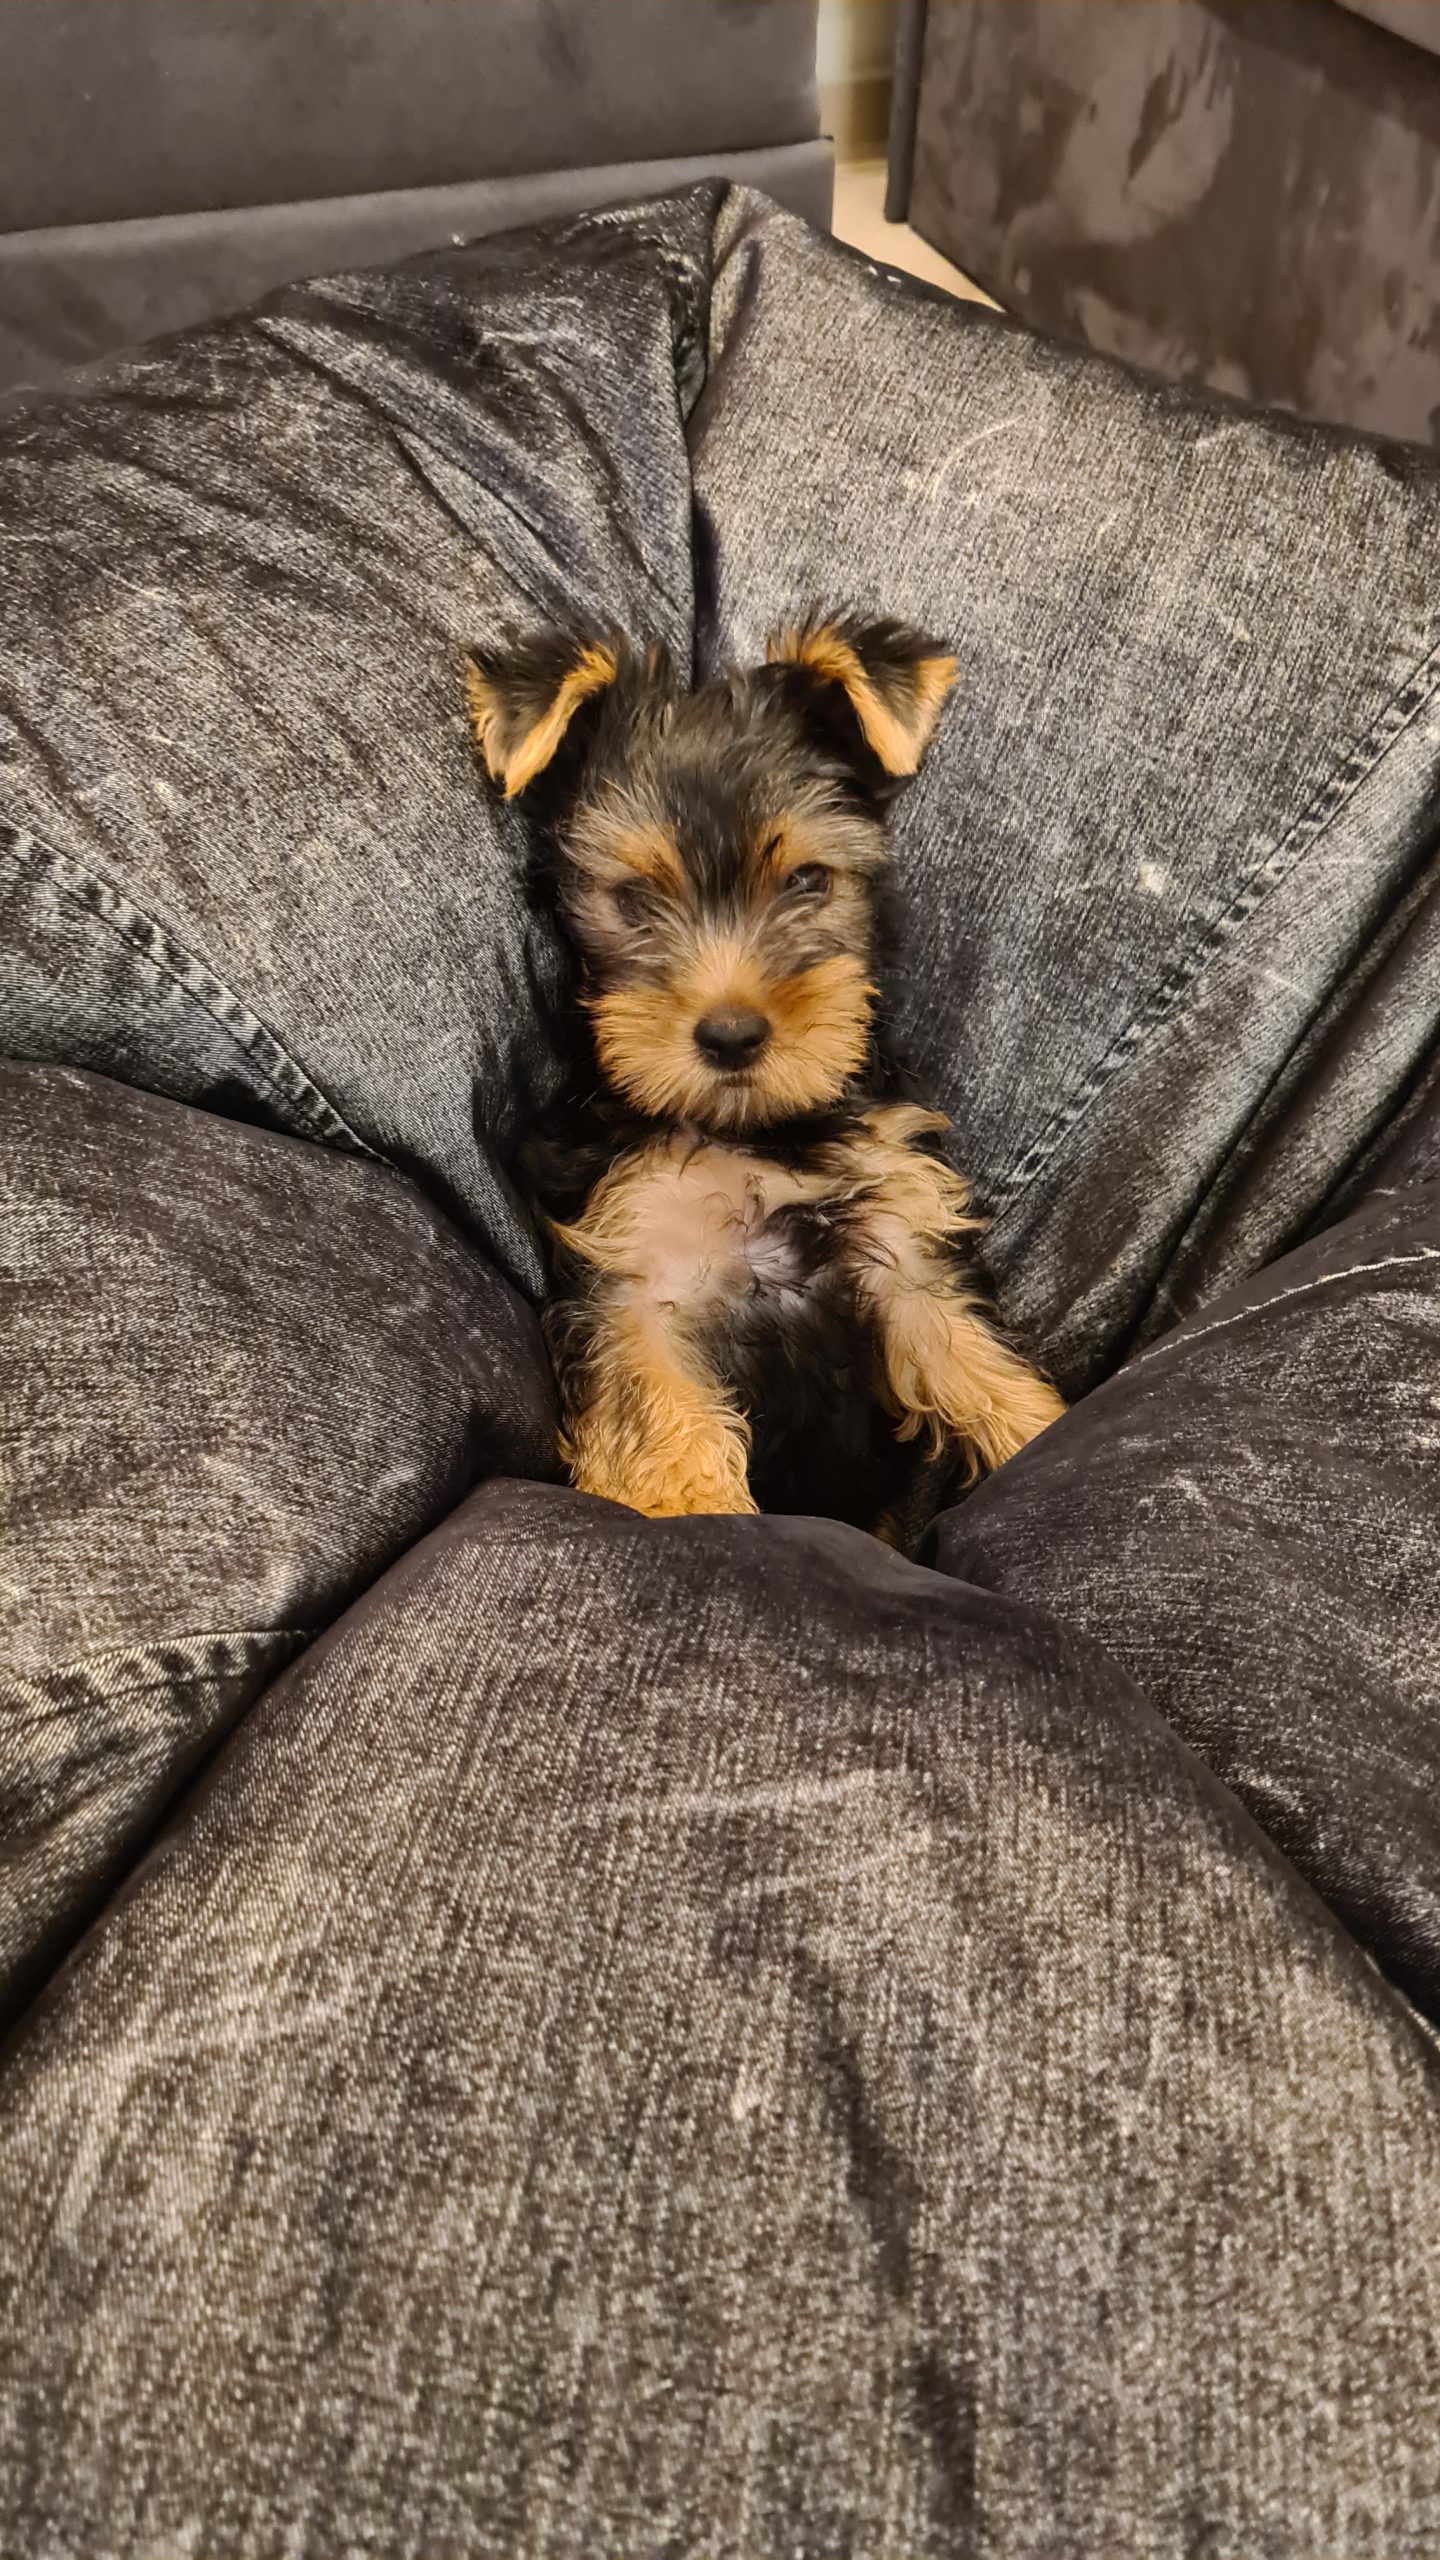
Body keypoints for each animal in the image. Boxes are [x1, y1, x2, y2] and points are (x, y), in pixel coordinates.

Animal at [465, 613, 1063, 1534]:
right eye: (632, 898)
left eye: (808, 880)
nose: (732, 1035)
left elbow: (972, 1357)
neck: (756, 1132)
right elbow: (666, 1423)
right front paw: (698, 1509)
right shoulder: (634, 1275)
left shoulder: (903, 1242)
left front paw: (1046, 1434)